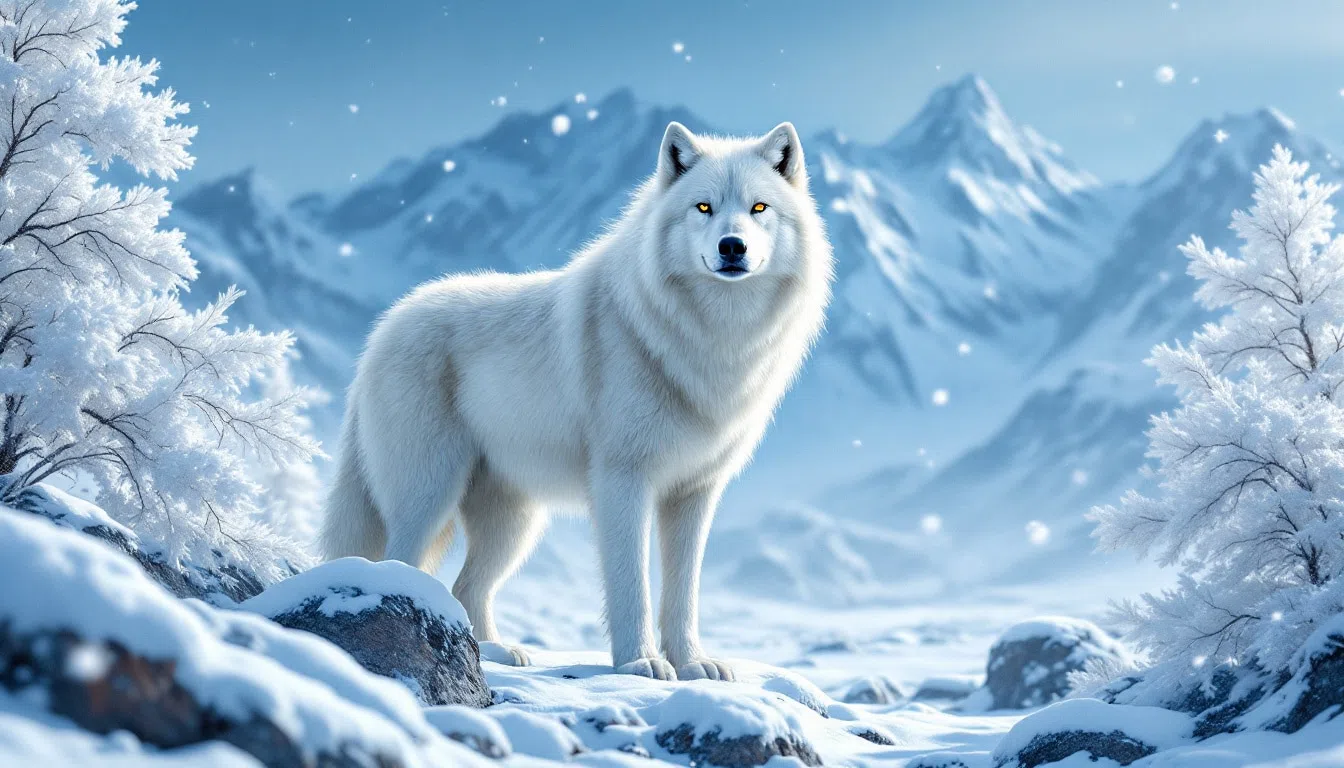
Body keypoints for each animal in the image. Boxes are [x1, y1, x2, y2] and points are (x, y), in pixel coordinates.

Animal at [320, 121, 833, 680]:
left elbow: (685, 592)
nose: (732, 246)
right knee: (399, 562)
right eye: (704, 207)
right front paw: (639, 663)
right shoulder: (622, 481)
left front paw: (693, 662)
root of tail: (381, 330)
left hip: (514, 524)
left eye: (759, 207)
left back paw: (496, 652)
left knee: (467, 587)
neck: (713, 340)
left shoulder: (695, 492)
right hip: (430, 494)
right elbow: (631, 583)